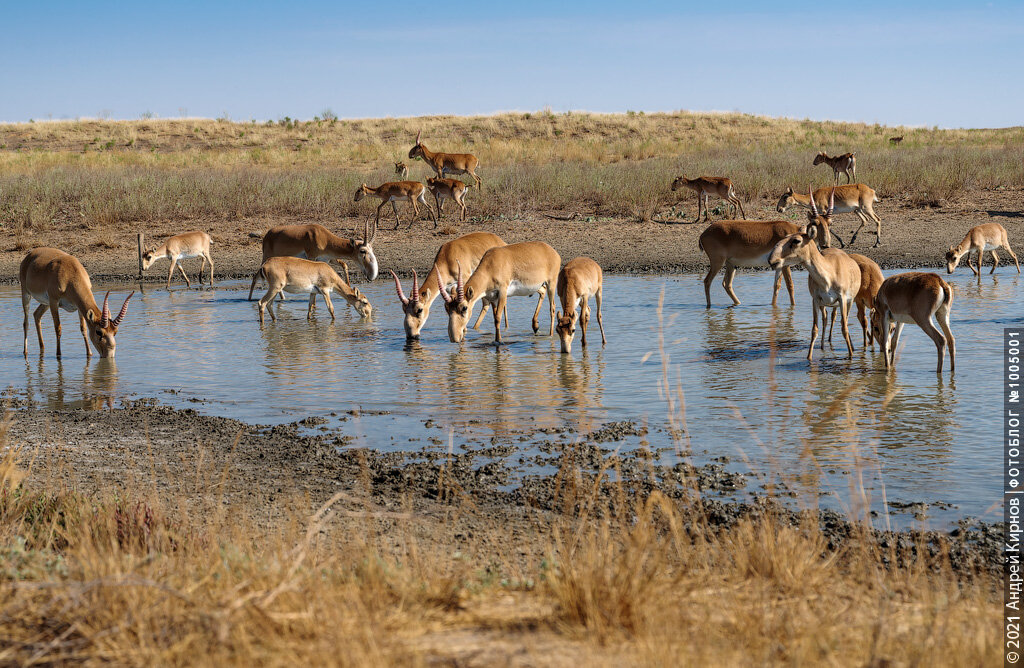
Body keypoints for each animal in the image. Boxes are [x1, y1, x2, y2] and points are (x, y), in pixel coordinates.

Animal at [245, 221, 378, 299]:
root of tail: (267, 235)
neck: (324, 238)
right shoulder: (312, 257)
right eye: (362, 251)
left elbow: (345, 265)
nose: (371, 275)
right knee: (255, 276)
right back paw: (250, 299)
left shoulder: (328, 259)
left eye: (372, 249)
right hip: (266, 257)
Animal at [391, 232, 520, 342]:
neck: (448, 257)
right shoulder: (449, 291)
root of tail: (501, 241)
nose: (411, 335)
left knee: (491, 304)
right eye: (403, 309)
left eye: (419, 309)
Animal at [770, 187, 864, 360]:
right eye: (814, 222)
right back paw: (823, 345)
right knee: (826, 319)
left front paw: (850, 356)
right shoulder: (815, 300)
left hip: (847, 302)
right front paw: (809, 358)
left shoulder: (842, 299)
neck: (828, 275)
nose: (772, 259)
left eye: (797, 240)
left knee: (839, 319)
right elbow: (814, 329)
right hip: (825, 304)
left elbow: (844, 327)